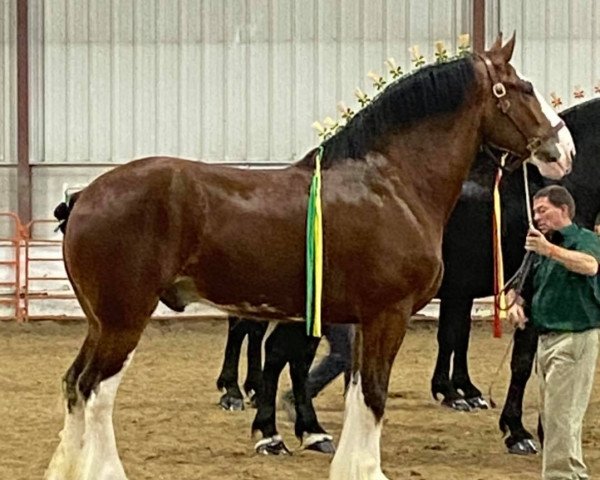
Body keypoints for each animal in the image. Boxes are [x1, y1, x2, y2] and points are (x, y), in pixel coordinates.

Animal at [47, 34, 572, 480]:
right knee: (95, 392)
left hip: (101, 322)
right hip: (124, 320)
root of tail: (85, 196)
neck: (392, 184)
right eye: (523, 88)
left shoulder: (361, 320)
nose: (562, 149)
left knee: (73, 384)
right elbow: (374, 395)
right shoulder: (388, 314)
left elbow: (358, 393)